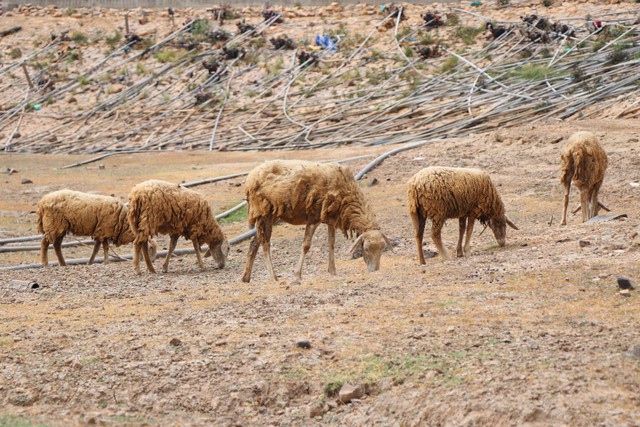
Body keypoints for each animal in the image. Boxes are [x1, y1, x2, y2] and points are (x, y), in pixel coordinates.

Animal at [240, 160, 392, 284]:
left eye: (383, 249)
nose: (375, 271)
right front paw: (297, 275)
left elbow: (331, 243)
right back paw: (273, 277)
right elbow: (306, 246)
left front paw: (332, 271)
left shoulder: (331, 218)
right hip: (263, 212)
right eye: (365, 249)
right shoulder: (314, 216)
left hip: (270, 215)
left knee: (254, 243)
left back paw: (246, 277)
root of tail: (250, 176)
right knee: (265, 243)